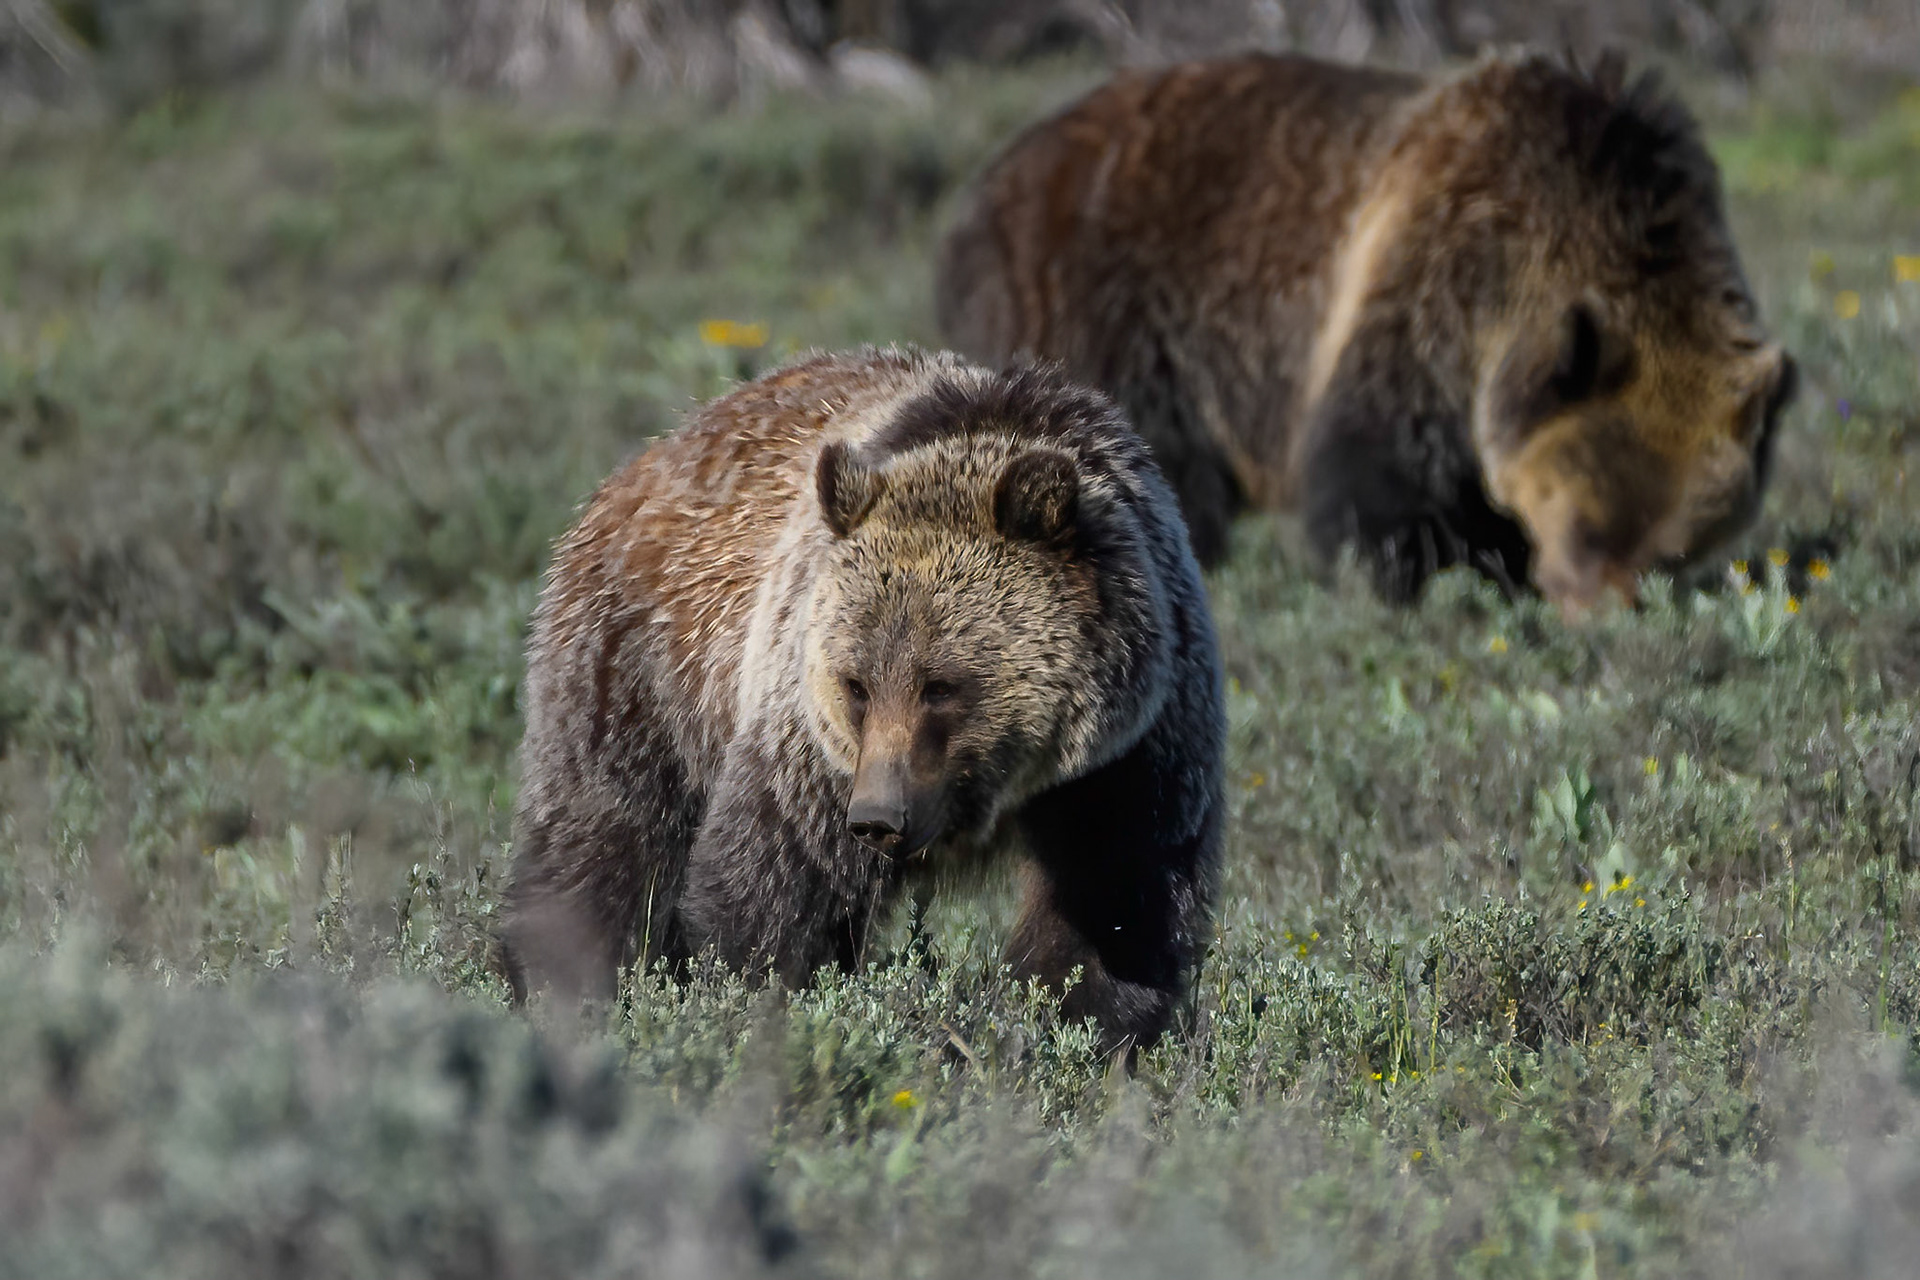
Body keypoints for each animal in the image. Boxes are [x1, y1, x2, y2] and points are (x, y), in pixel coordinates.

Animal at [499, 347, 1224, 1049]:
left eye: (942, 685)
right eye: (858, 684)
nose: (879, 816)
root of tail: (653, 452)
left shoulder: (1132, 752)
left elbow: (1117, 908)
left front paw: (1079, 1030)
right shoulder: (813, 743)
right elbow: (775, 886)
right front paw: (755, 1001)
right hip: (641, 667)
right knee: (603, 839)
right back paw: (560, 979)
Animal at [936, 50, 1798, 613]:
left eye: (1671, 550)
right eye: (1587, 525)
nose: (1601, 611)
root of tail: (987, 183)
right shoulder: (1430, 285)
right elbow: (1385, 474)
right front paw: (1432, 577)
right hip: (1104, 304)